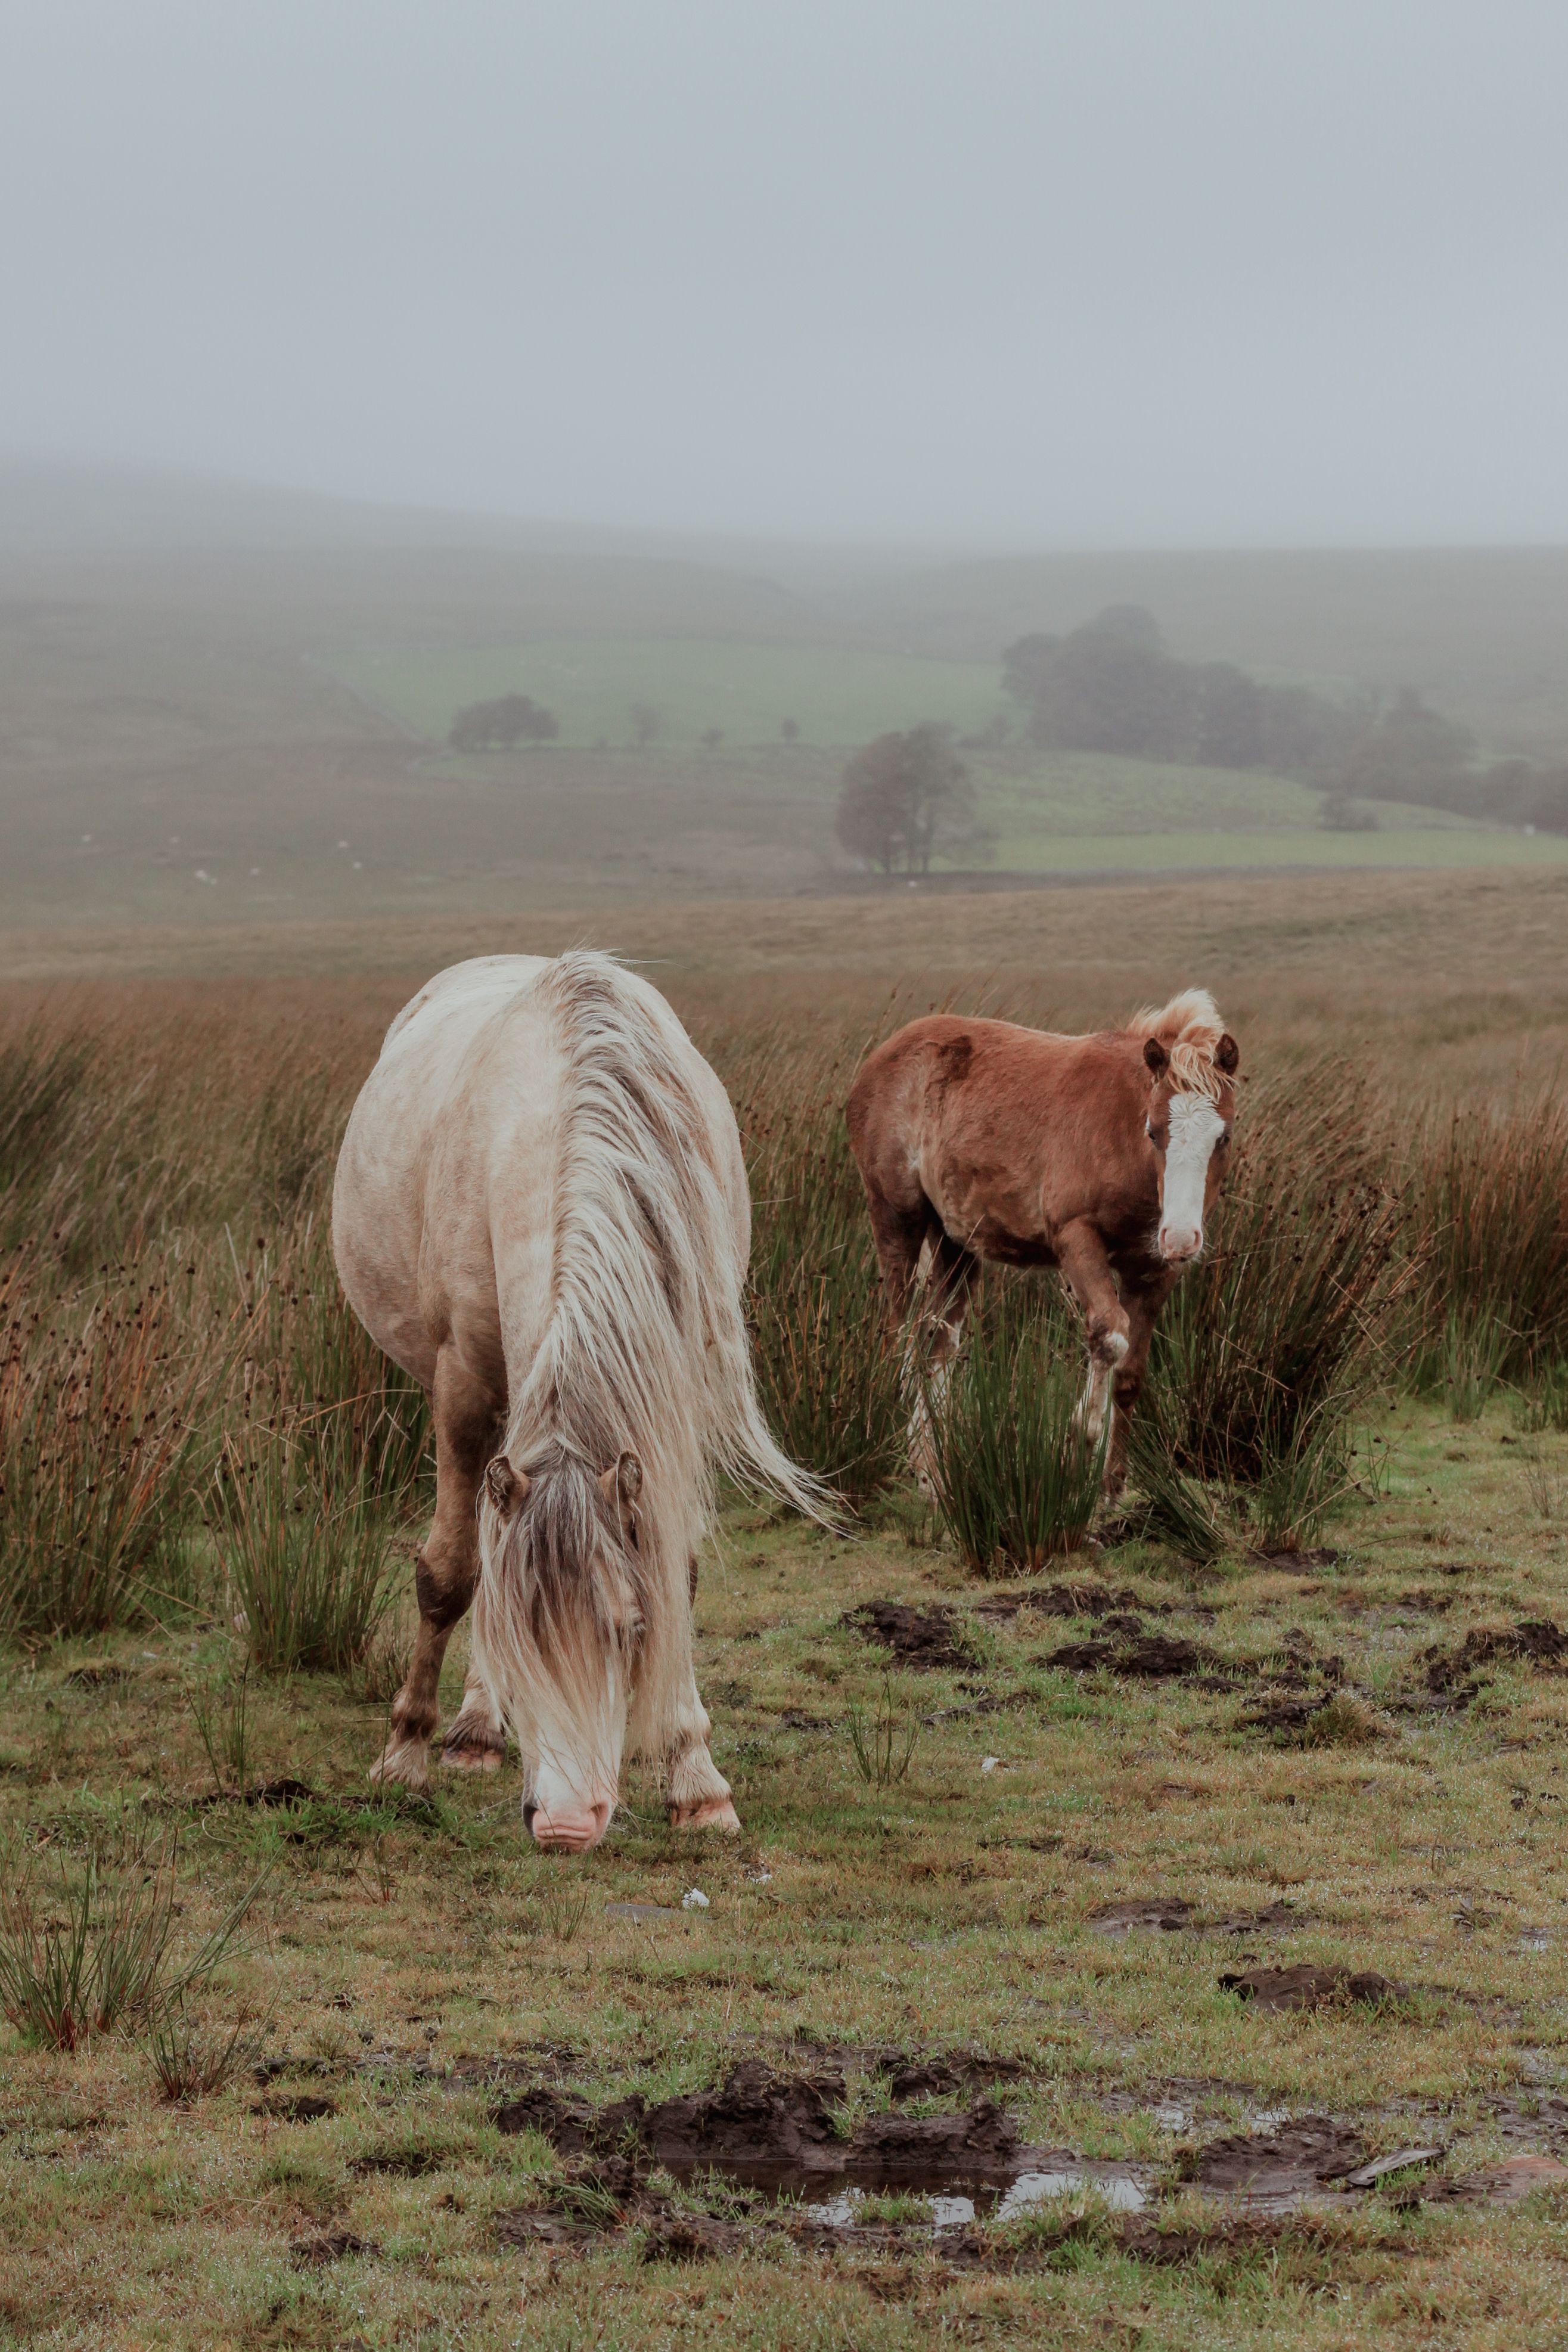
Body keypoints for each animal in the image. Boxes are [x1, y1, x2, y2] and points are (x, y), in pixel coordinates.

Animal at [332, 950, 821, 1852]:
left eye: (629, 1630)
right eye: (524, 1640)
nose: (566, 1825)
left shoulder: (676, 1390)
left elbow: (674, 1571)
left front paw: (696, 1779)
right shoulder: (462, 1386)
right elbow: (451, 1576)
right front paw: (405, 1752)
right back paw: (469, 1730)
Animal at [844, 990, 1240, 1493]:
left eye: (1223, 1137)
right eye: (1153, 1131)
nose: (1181, 1237)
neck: (1120, 1135)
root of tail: (879, 1059)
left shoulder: (1152, 1269)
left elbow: (1130, 1375)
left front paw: (1111, 1488)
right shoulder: (1076, 1240)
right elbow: (1109, 1336)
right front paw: (1078, 1450)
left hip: (956, 1242)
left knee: (937, 1340)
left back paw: (932, 1470)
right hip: (897, 1219)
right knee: (896, 1334)